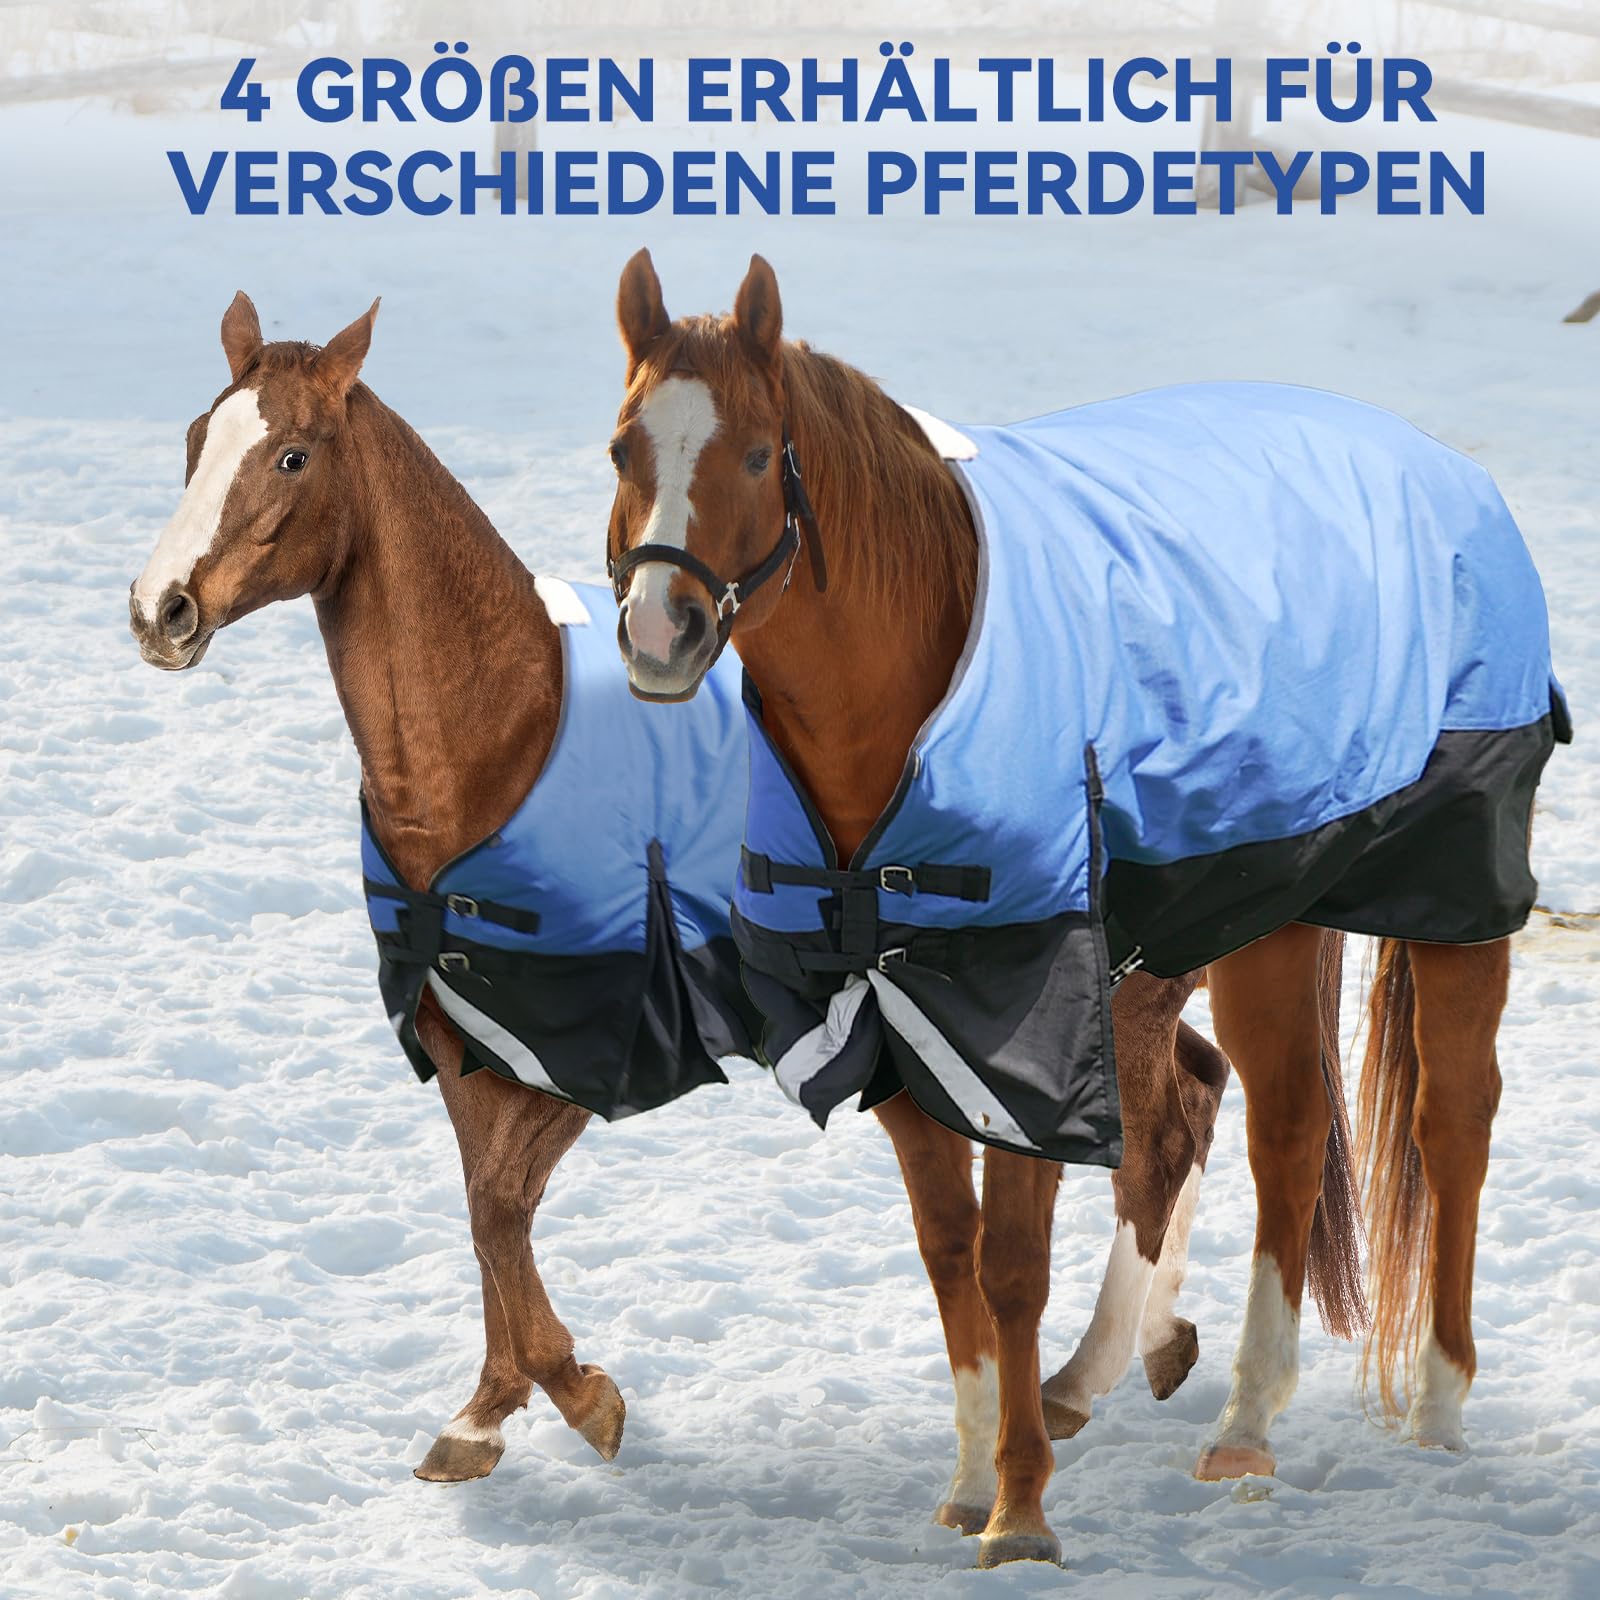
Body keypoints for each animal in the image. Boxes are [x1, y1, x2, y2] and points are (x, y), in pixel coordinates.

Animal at [123, 293, 1253, 1512]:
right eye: (195, 440)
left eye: (292, 454)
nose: (161, 611)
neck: (504, 734)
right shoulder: (470, 1032)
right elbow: (485, 1215)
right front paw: (485, 1413)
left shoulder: (592, 1039)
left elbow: (500, 1210)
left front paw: (581, 1397)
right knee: (1194, 1097)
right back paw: (1150, 1348)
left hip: (1102, 999)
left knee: (1158, 1141)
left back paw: (1084, 1378)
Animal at [603, 250, 1564, 1566]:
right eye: (620, 450)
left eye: (755, 454)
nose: (663, 629)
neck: (913, 704)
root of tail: (1444, 472)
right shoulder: (895, 1021)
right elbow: (949, 1253)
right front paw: (971, 1479)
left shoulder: (1027, 1029)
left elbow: (1010, 1264)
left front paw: (1019, 1510)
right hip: (1267, 912)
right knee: (1275, 1124)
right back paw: (1225, 1411)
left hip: (1447, 903)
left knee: (1446, 1122)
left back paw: (1431, 1410)